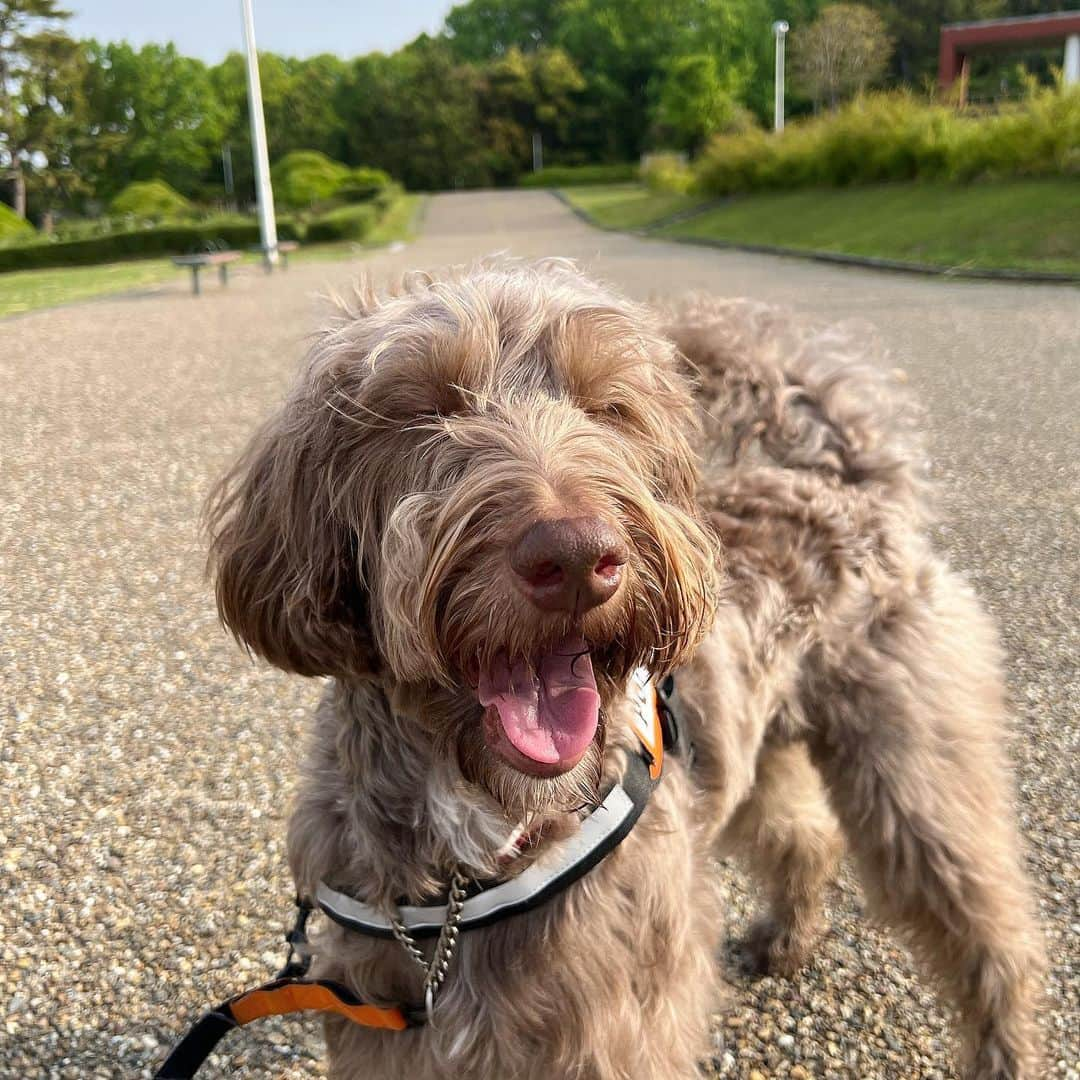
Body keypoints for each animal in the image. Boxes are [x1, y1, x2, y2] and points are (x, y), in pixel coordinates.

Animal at [206, 261, 1041, 1080]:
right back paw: (783, 937)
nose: (576, 557)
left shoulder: (613, 1025)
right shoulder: (384, 1023)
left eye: (608, 408)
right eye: (422, 408)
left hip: (917, 767)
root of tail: (845, 480)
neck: (476, 855)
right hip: (754, 745)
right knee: (805, 835)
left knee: (994, 932)